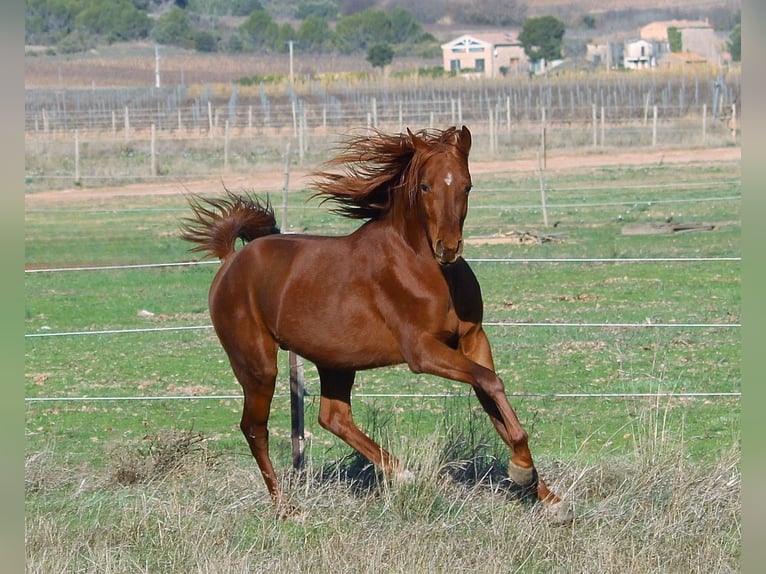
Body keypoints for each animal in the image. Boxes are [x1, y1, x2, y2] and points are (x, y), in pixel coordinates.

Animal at [182, 126, 568, 520]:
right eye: (425, 186)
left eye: (467, 185)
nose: (448, 248)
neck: (423, 268)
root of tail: (231, 260)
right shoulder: (422, 351)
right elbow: (490, 383)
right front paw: (523, 473)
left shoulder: (473, 339)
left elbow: (494, 398)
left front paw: (547, 495)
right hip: (258, 365)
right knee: (254, 428)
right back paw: (287, 508)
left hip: (335, 362)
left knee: (333, 417)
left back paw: (402, 473)